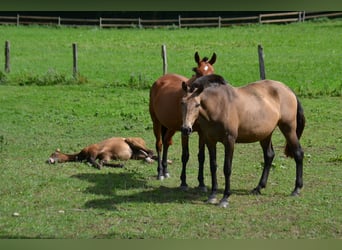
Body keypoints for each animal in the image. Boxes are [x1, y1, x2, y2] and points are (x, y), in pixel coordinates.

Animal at [148, 52, 215, 189]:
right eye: (197, 71)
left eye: (212, 72)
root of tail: (160, 80)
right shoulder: (185, 132)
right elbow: (185, 155)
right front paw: (183, 182)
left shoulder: (202, 133)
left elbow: (201, 156)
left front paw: (201, 183)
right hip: (156, 122)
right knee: (159, 144)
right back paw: (160, 173)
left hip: (171, 127)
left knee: (166, 142)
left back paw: (166, 171)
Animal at [180, 74, 306, 207]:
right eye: (182, 103)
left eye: (197, 105)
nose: (186, 129)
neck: (218, 105)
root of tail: (287, 89)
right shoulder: (210, 141)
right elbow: (213, 166)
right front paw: (213, 195)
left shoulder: (229, 141)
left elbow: (227, 168)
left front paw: (225, 197)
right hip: (265, 134)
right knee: (269, 156)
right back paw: (258, 188)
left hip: (288, 129)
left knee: (298, 153)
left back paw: (296, 189)